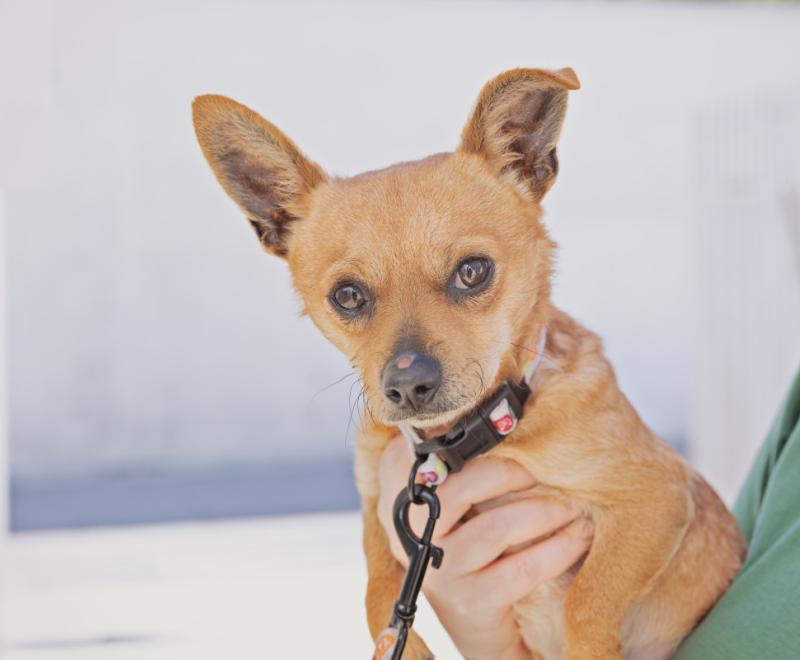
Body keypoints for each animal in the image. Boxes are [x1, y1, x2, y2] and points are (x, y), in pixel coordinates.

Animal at [192, 68, 744, 660]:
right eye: (347, 296)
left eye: (473, 271)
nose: (408, 384)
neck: (461, 440)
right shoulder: (376, 506)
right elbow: (376, 592)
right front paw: (405, 646)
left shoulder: (656, 497)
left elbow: (586, 604)